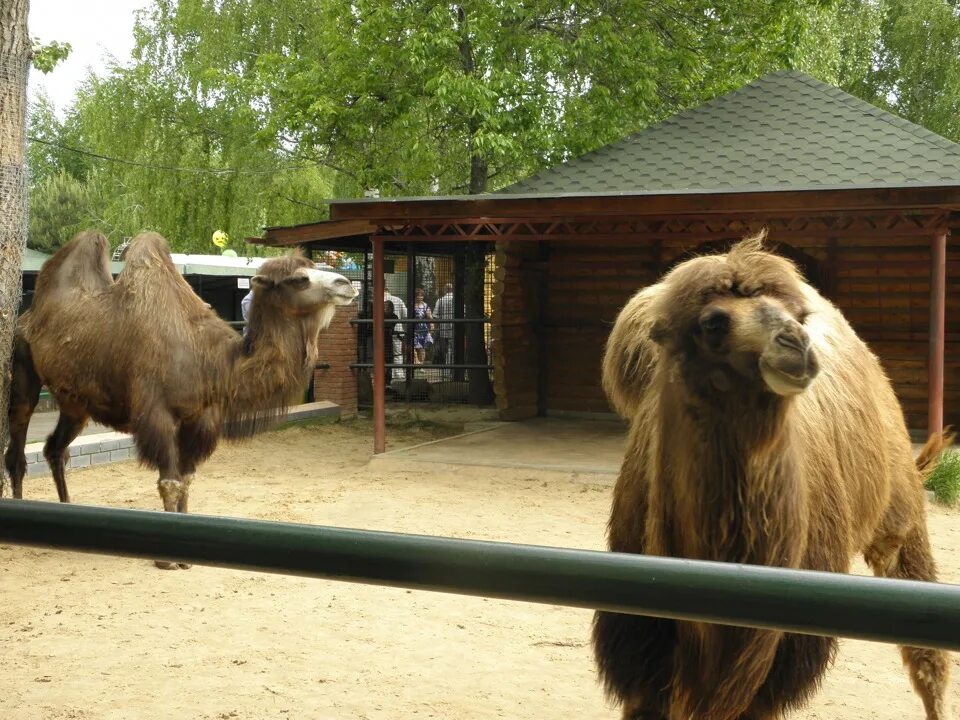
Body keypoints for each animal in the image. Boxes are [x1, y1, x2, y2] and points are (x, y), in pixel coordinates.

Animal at [4, 232, 356, 568]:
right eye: (299, 279)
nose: (346, 283)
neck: (209, 361)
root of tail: (28, 315)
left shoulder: (201, 417)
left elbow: (187, 478)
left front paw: (187, 554)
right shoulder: (157, 414)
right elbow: (170, 482)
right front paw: (165, 559)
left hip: (76, 402)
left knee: (55, 449)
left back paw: (68, 509)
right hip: (23, 369)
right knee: (18, 442)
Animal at [596, 236, 948, 720]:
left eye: (798, 315)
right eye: (714, 323)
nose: (796, 346)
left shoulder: (778, 666)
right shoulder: (641, 661)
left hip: (900, 510)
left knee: (926, 651)